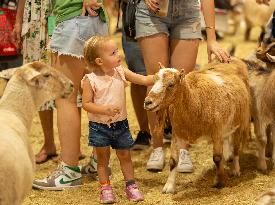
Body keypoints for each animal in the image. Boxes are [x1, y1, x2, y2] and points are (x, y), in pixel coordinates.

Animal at [146, 58, 251, 194]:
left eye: (171, 84)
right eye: (154, 80)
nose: (147, 102)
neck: (195, 100)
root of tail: (231, 59)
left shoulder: (217, 132)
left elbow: (217, 158)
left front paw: (219, 181)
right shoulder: (177, 133)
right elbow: (173, 161)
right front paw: (169, 186)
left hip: (240, 122)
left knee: (237, 147)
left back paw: (235, 169)